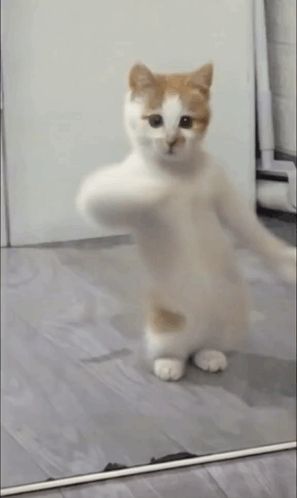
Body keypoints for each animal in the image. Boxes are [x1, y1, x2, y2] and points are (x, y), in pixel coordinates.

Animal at [77, 62, 296, 382]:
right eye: (155, 120)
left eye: (186, 121)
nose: (171, 140)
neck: (178, 169)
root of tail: (195, 338)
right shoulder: (115, 188)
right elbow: (98, 197)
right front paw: (160, 190)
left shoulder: (220, 184)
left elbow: (248, 225)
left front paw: (287, 263)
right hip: (164, 322)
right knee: (174, 348)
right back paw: (169, 363)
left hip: (230, 314)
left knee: (209, 344)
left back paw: (210, 354)